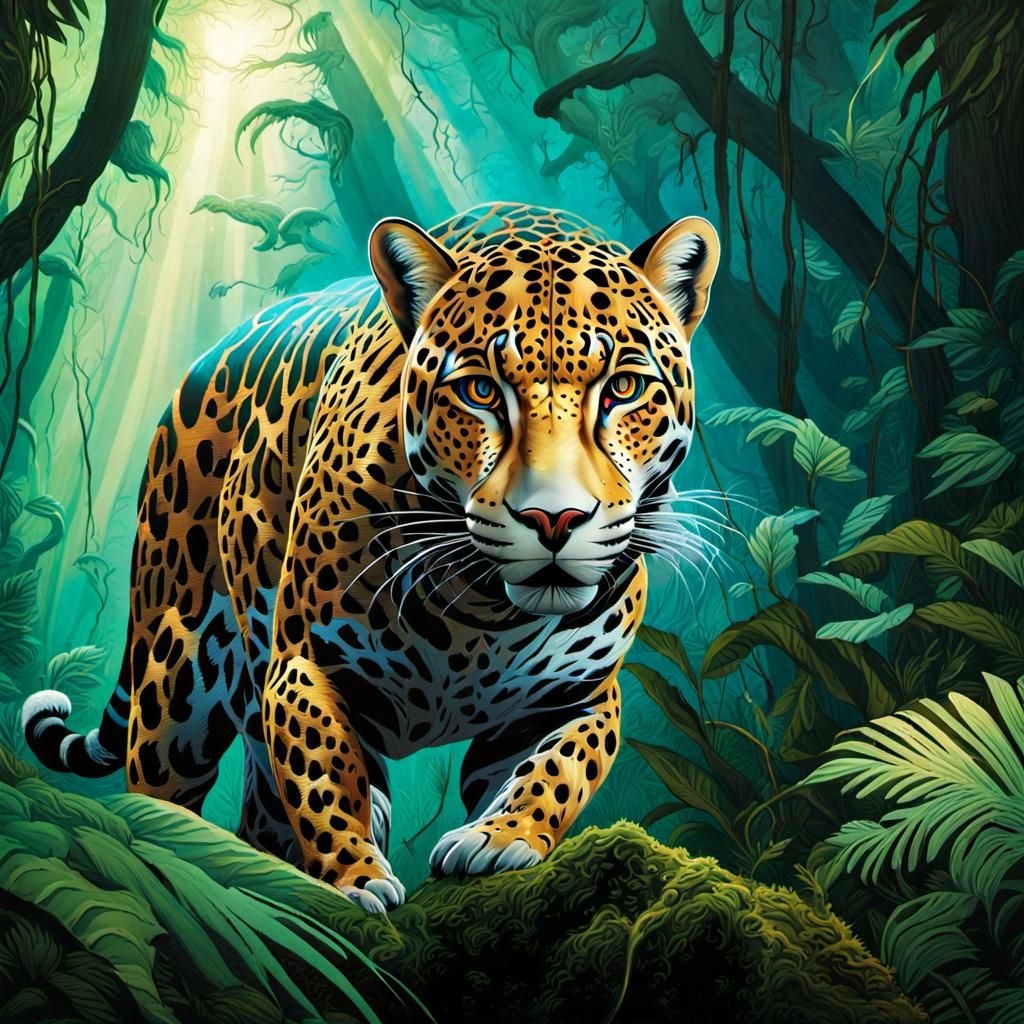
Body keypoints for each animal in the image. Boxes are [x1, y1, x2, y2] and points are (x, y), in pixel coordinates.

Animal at [22, 203, 719, 912]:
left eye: (625, 387)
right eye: (480, 392)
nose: (555, 518)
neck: (483, 613)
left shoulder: (577, 696)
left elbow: (558, 769)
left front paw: (500, 839)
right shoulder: (303, 668)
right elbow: (325, 779)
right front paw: (357, 878)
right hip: (176, 683)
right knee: (164, 793)